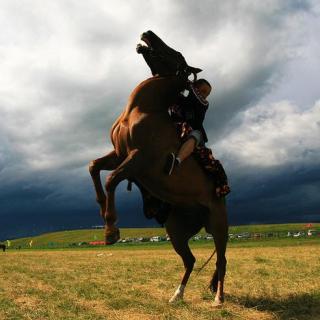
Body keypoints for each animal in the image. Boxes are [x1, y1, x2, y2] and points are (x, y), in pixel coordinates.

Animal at [90, 31, 229, 306]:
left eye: (176, 53)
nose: (148, 33)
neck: (142, 110)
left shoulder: (138, 159)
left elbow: (112, 179)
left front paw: (111, 231)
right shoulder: (118, 154)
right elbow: (94, 168)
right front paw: (102, 209)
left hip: (219, 227)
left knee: (221, 260)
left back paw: (218, 299)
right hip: (176, 231)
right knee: (191, 260)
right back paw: (177, 295)